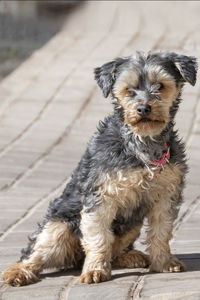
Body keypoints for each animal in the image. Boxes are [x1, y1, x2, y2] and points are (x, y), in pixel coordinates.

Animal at [1, 51, 198, 286]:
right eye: (128, 89)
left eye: (160, 86)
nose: (143, 108)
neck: (141, 143)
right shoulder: (100, 196)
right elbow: (98, 237)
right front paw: (95, 269)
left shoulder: (166, 194)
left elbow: (162, 230)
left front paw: (163, 262)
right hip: (58, 226)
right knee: (34, 252)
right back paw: (18, 272)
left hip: (131, 226)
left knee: (116, 250)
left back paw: (131, 256)